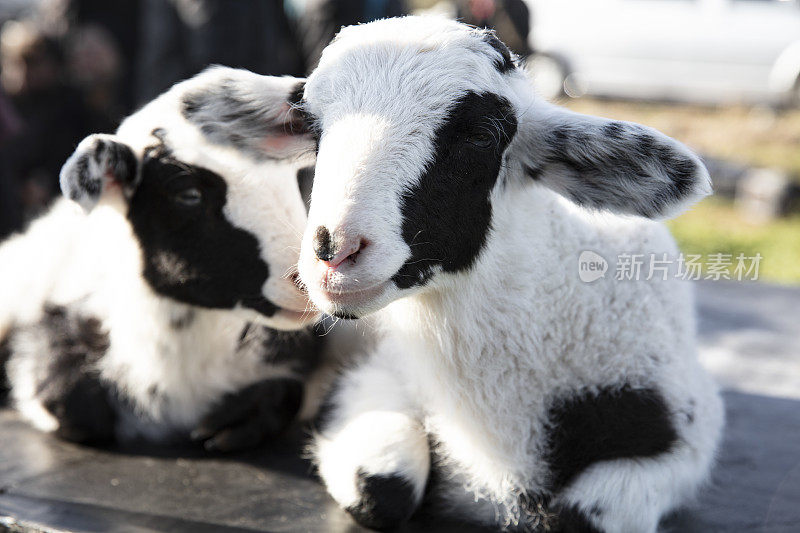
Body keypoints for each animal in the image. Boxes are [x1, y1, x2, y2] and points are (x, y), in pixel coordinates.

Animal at [1, 67, 324, 448]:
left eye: (290, 179)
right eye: (188, 194)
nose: (306, 281)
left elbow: (290, 392)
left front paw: (227, 424)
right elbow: (75, 406)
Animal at [184, 16, 728, 532]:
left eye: (482, 136)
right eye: (313, 131)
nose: (333, 251)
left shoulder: (684, 436)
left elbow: (581, 517)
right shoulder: (375, 375)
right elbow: (383, 491)